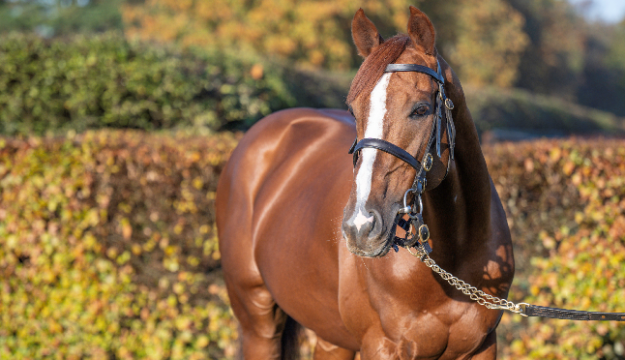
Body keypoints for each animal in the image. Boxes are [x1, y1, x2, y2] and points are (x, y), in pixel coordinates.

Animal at [217, 6, 516, 360]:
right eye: (353, 110)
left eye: (421, 109)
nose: (360, 225)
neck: (453, 255)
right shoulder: (381, 346)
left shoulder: (482, 347)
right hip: (258, 323)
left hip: (331, 337)